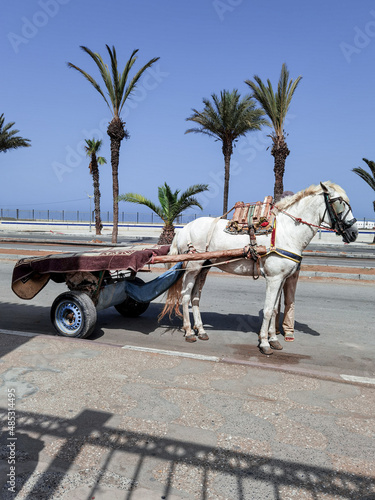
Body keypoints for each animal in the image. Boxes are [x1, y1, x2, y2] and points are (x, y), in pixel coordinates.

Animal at [161, 182, 358, 354]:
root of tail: (184, 229)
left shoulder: (281, 279)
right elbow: (269, 310)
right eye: (339, 202)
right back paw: (189, 332)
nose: (354, 233)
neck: (286, 232)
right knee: (185, 297)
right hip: (192, 268)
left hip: (205, 267)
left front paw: (274, 339)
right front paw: (264, 343)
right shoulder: (274, 279)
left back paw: (201, 330)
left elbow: (275, 309)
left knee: (195, 297)